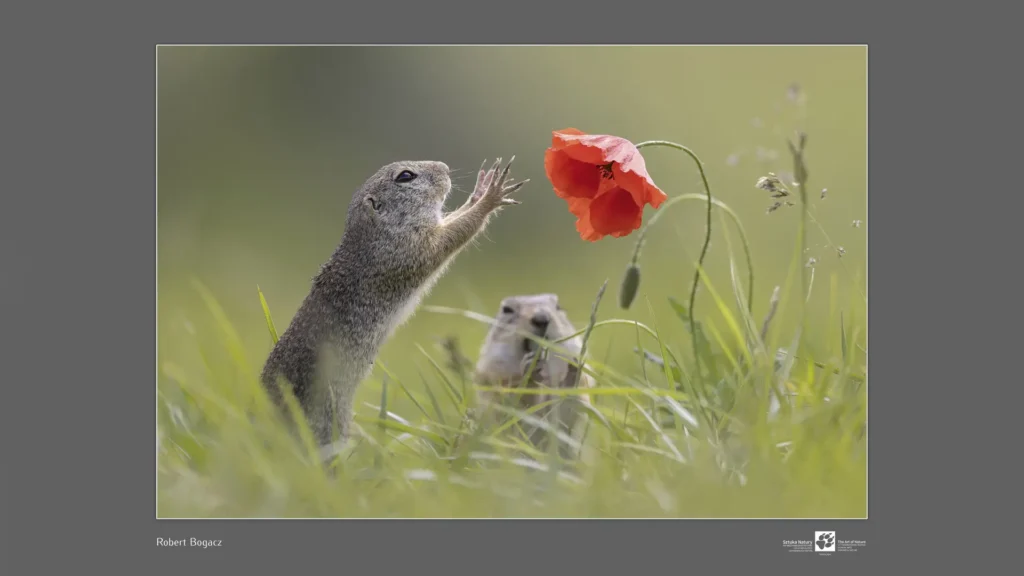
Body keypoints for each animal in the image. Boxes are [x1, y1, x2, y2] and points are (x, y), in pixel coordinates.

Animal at [260, 158, 528, 446]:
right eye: (405, 176)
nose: (444, 167)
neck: (372, 235)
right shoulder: (406, 250)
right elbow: (449, 237)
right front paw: (490, 197)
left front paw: (480, 192)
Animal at [471, 291, 593, 457]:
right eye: (507, 309)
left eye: (558, 306)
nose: (541, 318)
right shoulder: (493, 382)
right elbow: (515, 410)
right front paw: (530, 370)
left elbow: (565, 416)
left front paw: (572, 372)